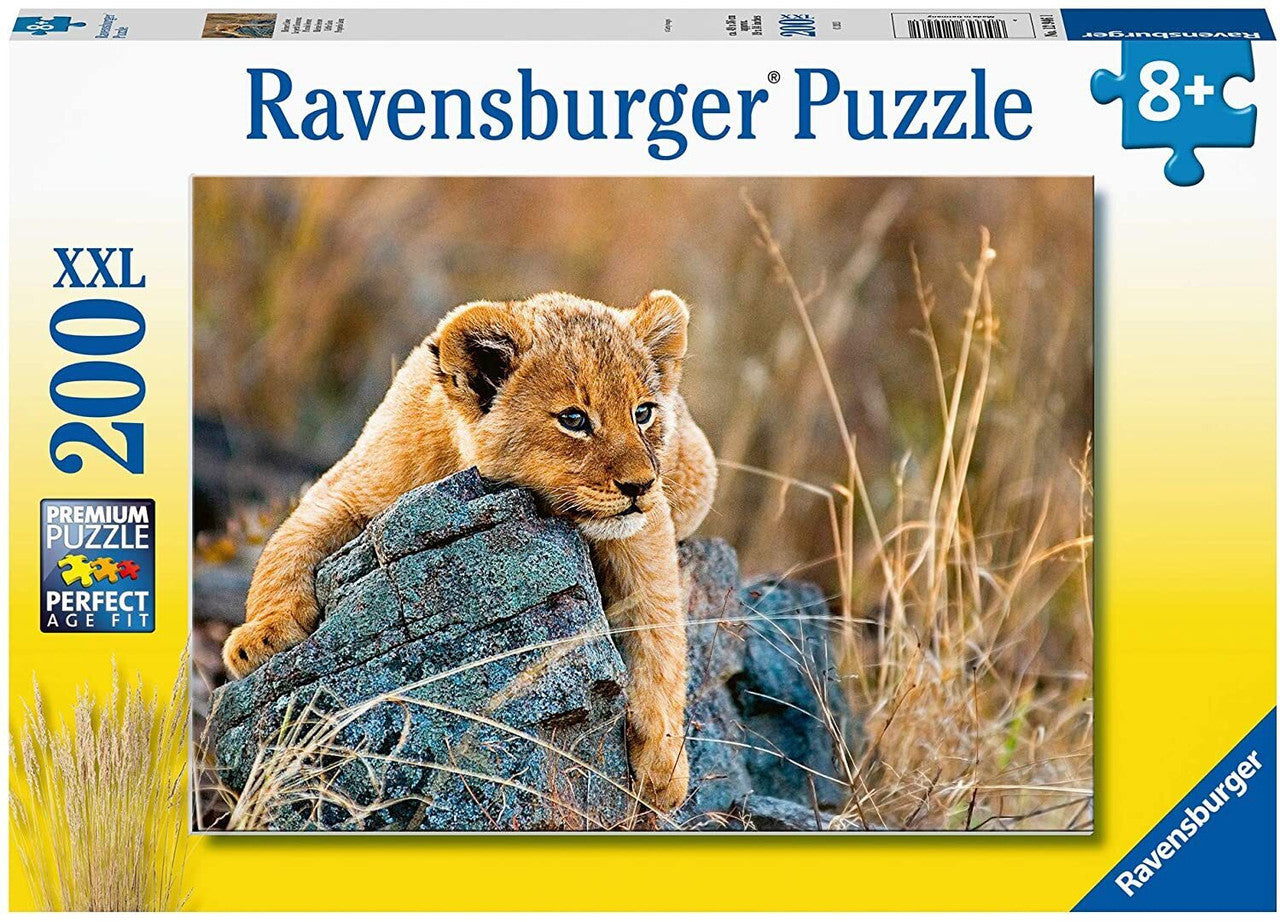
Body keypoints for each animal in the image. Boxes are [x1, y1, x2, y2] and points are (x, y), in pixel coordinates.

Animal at [222, 290, 717, 811]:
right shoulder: (348, 487)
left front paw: (663, 764)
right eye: (574, 420)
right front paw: (259, 638)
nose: (640, 485)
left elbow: (659, 629)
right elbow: (286, 545)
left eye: (643, 412)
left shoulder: (645, 529)